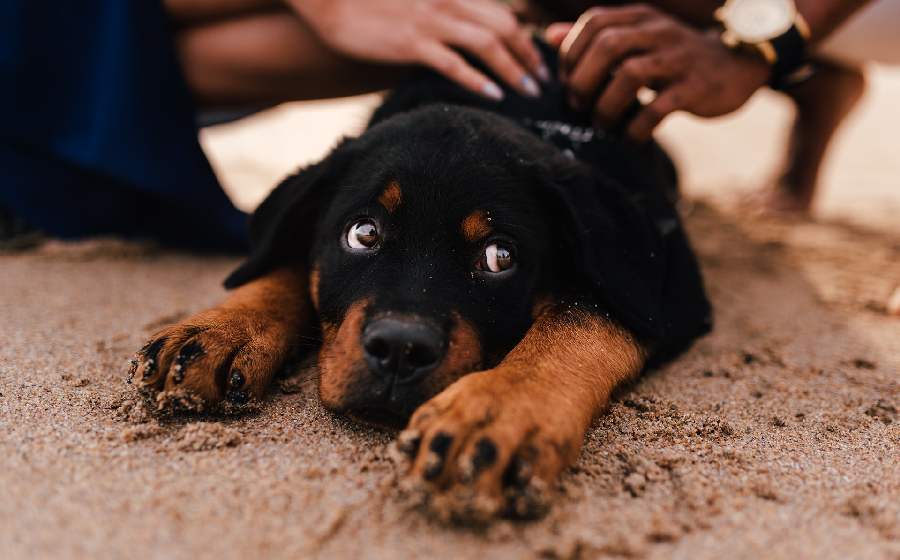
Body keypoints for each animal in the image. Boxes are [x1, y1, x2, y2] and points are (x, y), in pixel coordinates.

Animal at [132, 47, 712, 520]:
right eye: (363, 232)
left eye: (499, 256)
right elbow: (290, 263)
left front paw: (496, 413)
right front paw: (219, 331)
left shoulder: (666, 283)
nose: (400, 349)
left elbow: (583, 311)